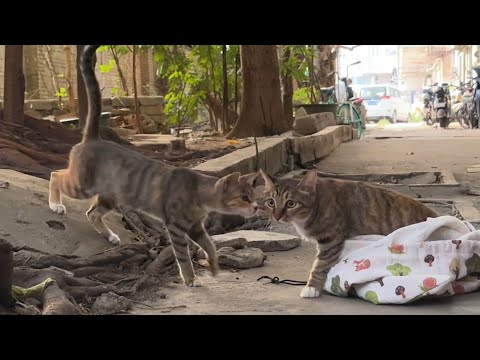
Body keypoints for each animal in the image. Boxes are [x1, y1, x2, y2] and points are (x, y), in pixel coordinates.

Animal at [48, 45, 258, 286]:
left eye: (252, 196)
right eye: (244, 198)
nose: (256, 207)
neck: (199, 192)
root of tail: (93, 138)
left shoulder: (196, 228)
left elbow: (211, 246)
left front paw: (214, 267)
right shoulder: (176, 228)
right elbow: (184, 256)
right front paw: (190, 278)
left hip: (110, 195)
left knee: (92, 213)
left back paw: (110, 235)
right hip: (82, 184)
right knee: (55, 174)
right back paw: (55, 204)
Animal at [260, 169, 436, 298]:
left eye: (291, 203)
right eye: (271, 202)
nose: (276, 217)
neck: (316, 205)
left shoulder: (331, 239)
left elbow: (320, 264)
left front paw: (312, 287)